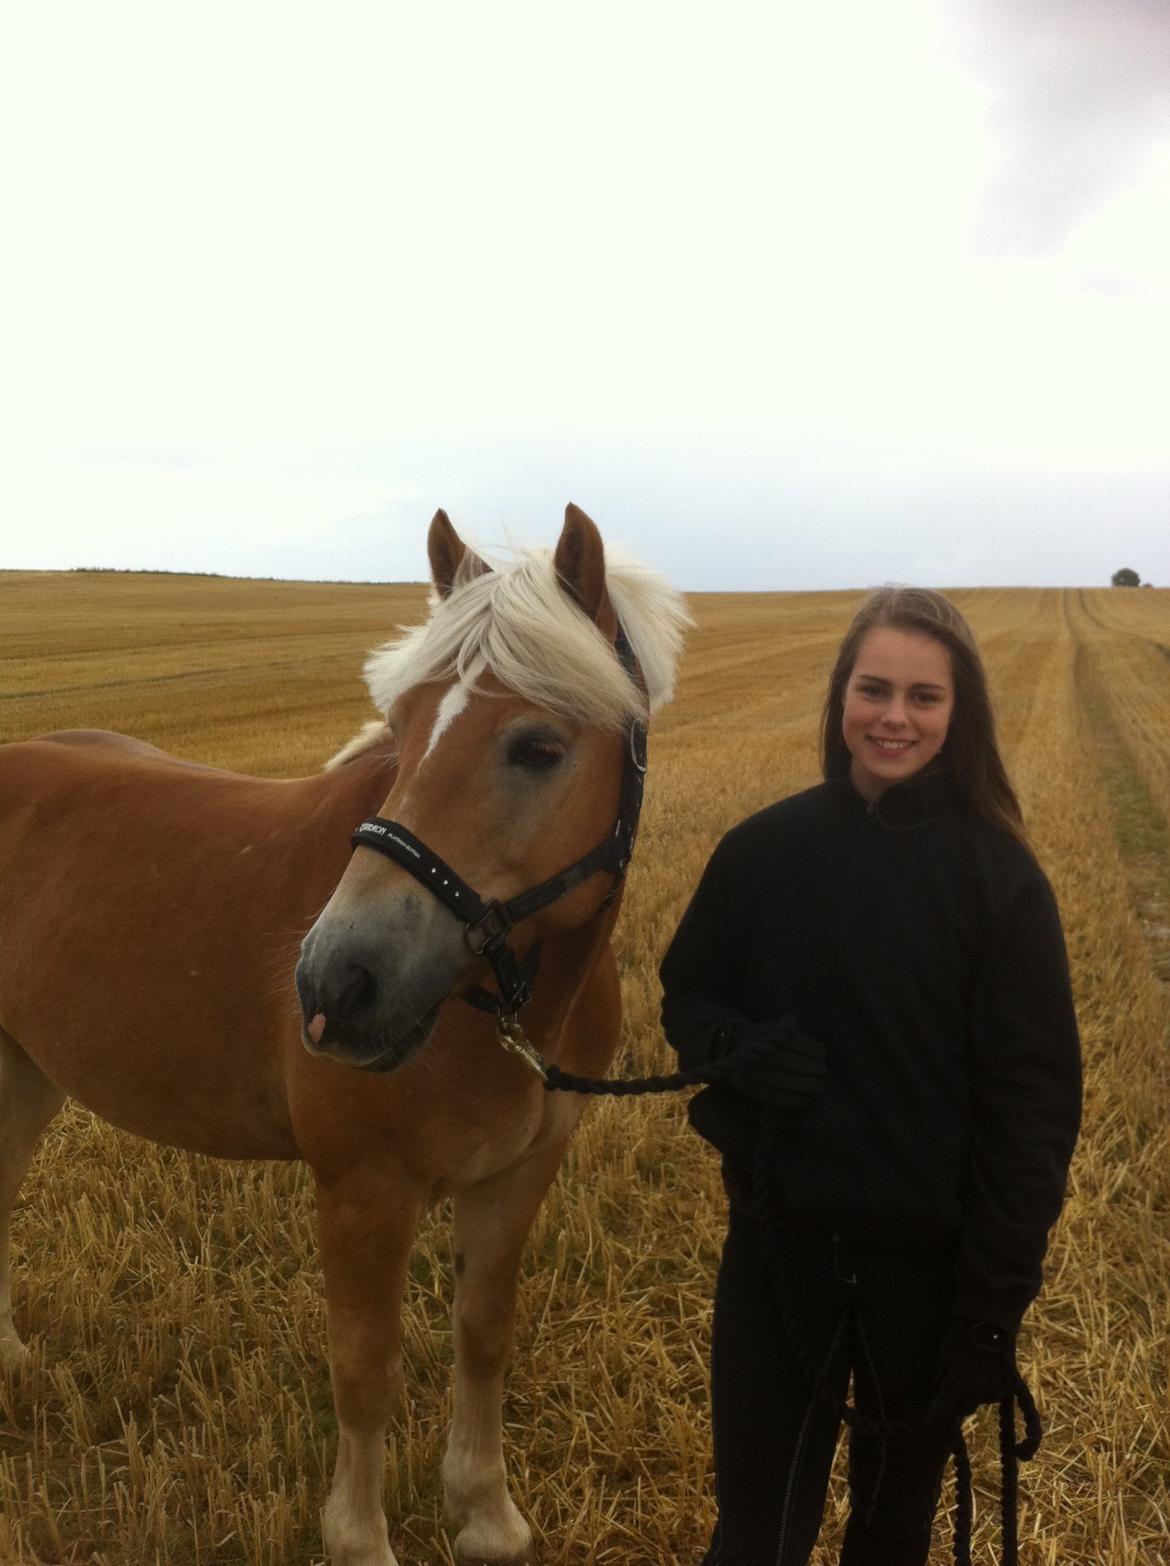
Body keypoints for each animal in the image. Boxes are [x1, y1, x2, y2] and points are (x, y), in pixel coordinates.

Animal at [0, 504, 686, 1566]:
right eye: (401, 732)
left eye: (537, 746)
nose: (335, 984)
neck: (502, 1005)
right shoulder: (364, 1192)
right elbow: (366, 1370)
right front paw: (360, 1538)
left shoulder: (517, 1177)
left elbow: (483, 1335)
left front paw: (484, 1513)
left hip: (26, 1073)